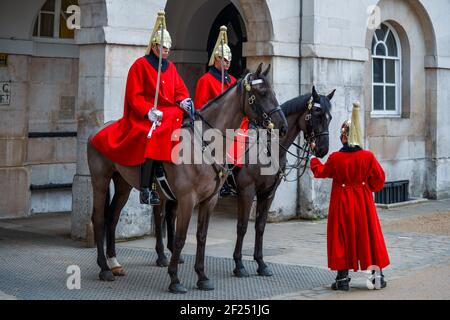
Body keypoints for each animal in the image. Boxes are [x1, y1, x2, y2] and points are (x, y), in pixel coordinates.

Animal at [86, 61, 286, 294]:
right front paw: (174, 279)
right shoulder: (188, 199)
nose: (283, 126)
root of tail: (98, 129)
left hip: (123, 184)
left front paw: (202, 277)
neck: (205, 144)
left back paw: (114, 263)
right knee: (99, 218)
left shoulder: (210, 200)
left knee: (113, 217)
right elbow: (181, 238)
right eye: (261, 92)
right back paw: (104, 268)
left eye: (273, 91)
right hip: (100, 180)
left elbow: (201, 236)